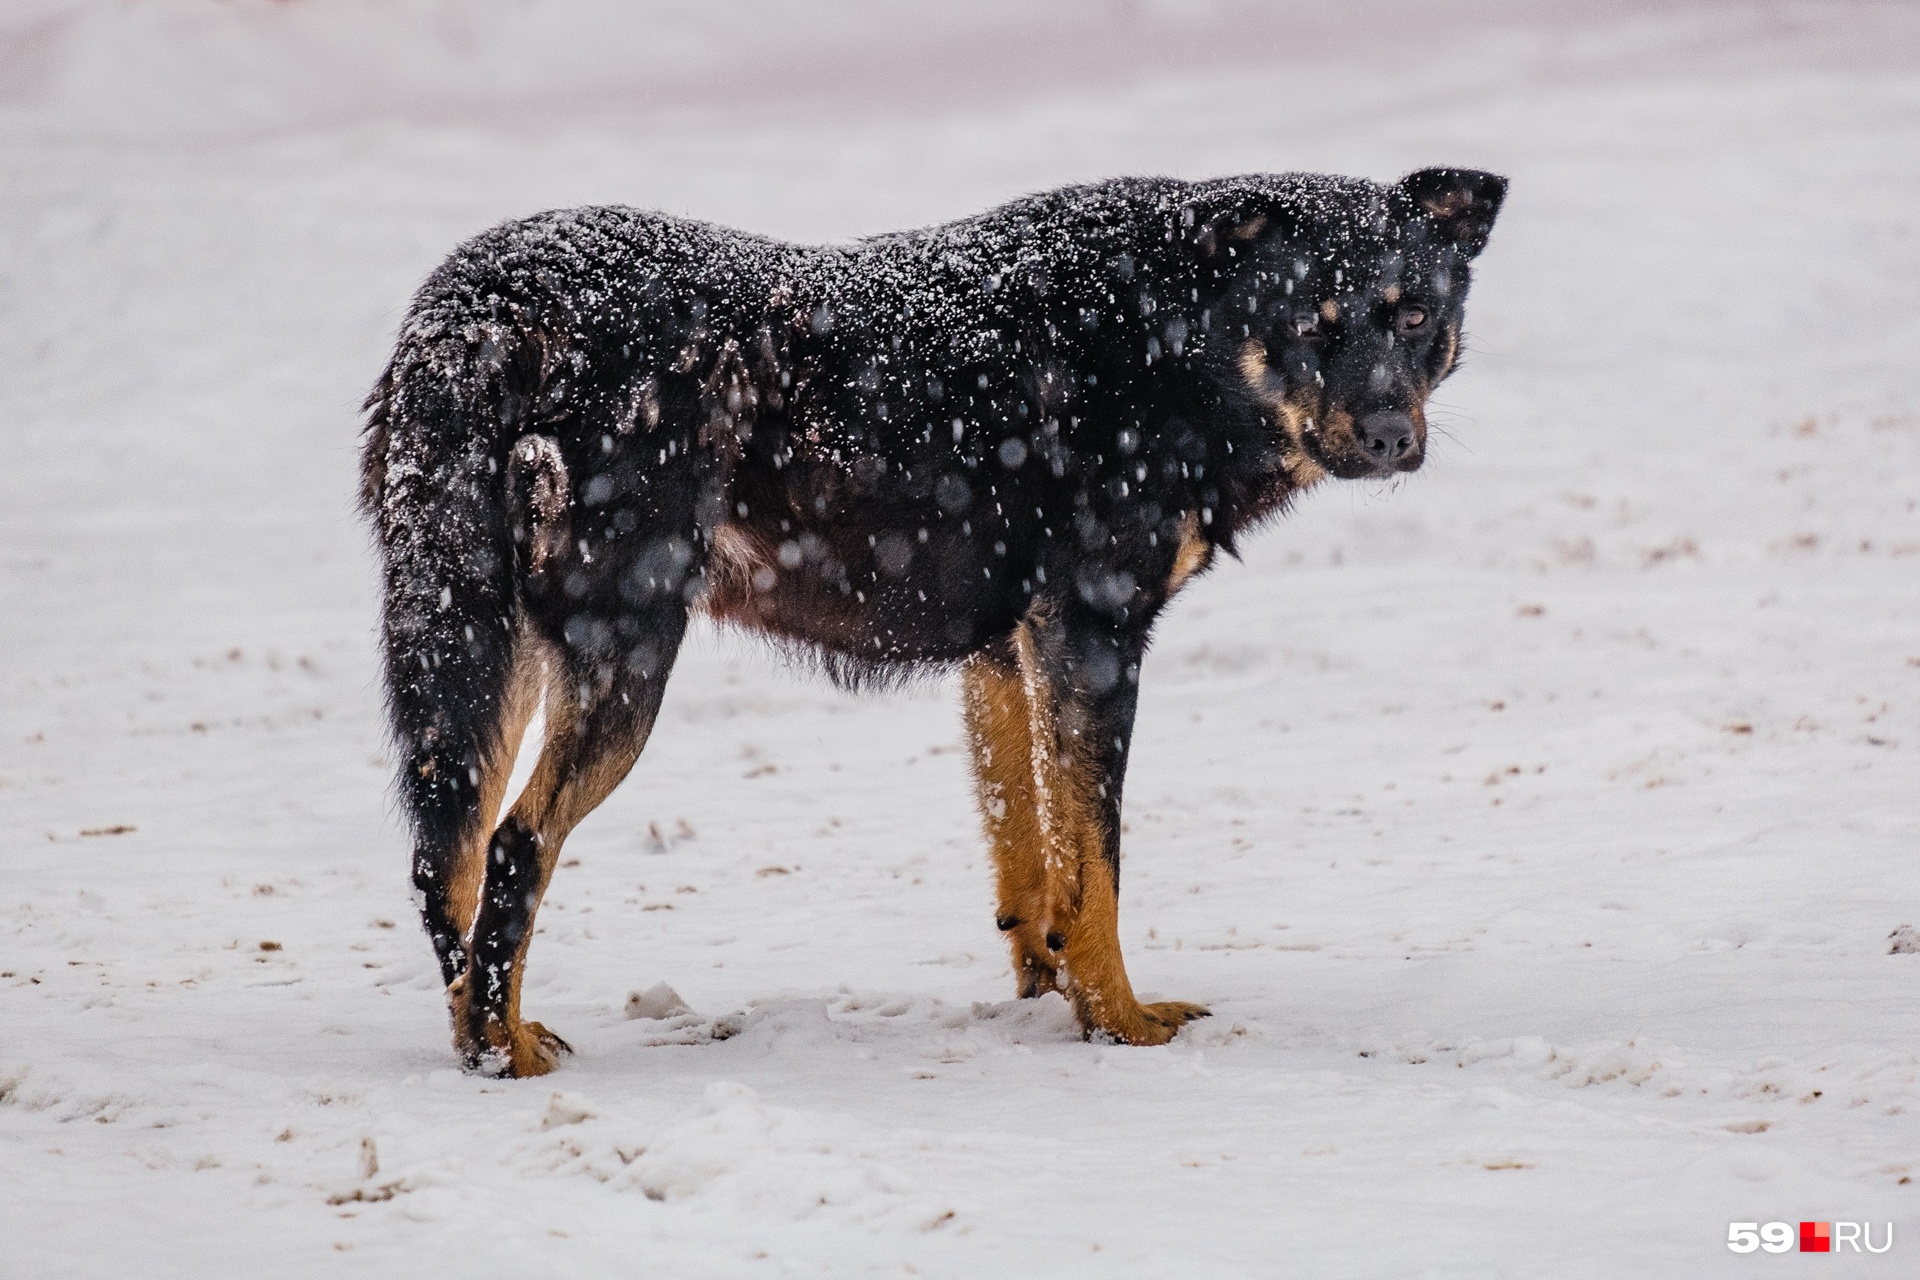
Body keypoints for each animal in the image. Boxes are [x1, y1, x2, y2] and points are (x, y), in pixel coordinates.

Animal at [360, 165, 1497, 1074]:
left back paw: (485, 1038)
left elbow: (1036, 863)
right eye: (1312, 323)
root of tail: (481, 307)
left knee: (446, 863)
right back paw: (506, 1059)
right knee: (515, 849)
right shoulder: (1092, 637)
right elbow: (1099, 870)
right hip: (621, 662)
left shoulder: (1006, 657)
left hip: (484, 654)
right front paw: (1120, 1027)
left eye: (1410, 318)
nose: (1390, 435)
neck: (1175, 341)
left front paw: (1052, 998)